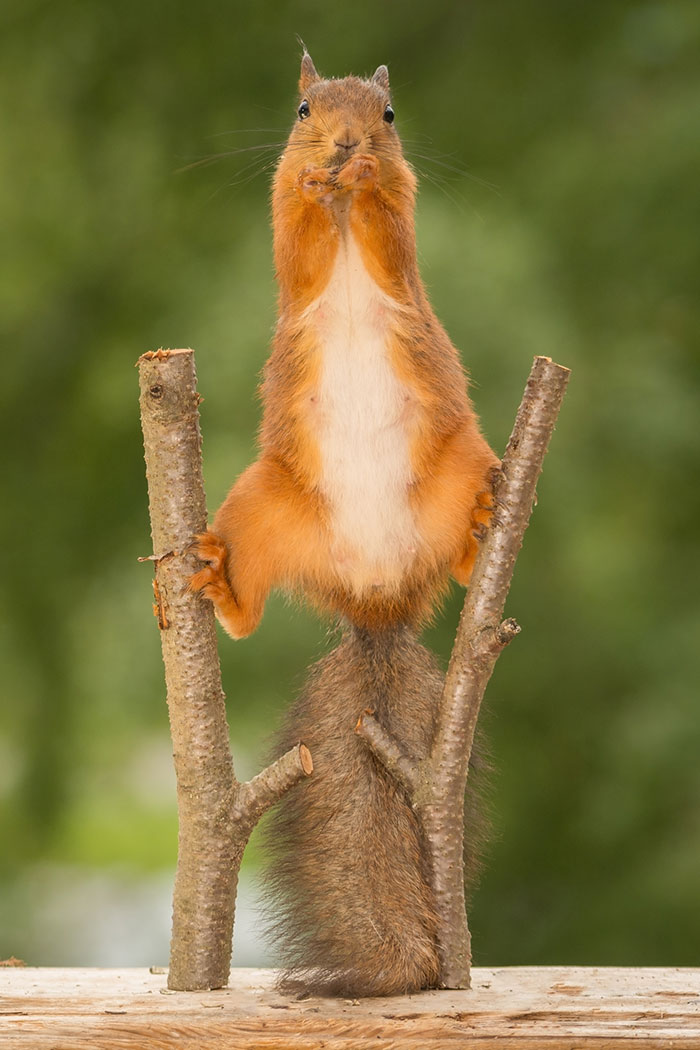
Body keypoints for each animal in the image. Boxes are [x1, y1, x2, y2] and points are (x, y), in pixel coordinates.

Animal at [191, 53, 499, 997]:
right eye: (302, 109)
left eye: (389, 115)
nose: (346, 143)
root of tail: (375, 601)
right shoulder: (286, 228)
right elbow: (297, 238)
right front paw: (319, 181)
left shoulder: (404, 224)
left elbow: (389, 235)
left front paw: (360, 180)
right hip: (262, 503)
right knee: (244, 611)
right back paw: (213, 576)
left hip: (463, 458)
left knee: (466, 557)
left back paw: (485, 522)